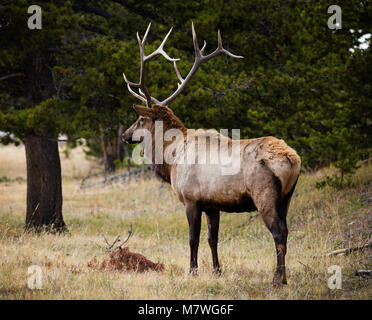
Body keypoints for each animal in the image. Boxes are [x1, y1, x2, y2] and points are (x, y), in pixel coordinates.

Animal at [120, 23, 300, 286]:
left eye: (140, 119)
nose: (125, 134)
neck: (171, 159)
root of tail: (293, 160)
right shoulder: (212, 204)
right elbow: (212, 239)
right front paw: (217, 270)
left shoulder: (191, 199)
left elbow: (193, 239)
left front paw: (192, 271)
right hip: (287, 197)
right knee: (286, 231)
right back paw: (283, 277)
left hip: (264, 194)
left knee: (278, 232)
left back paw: (278, 279)